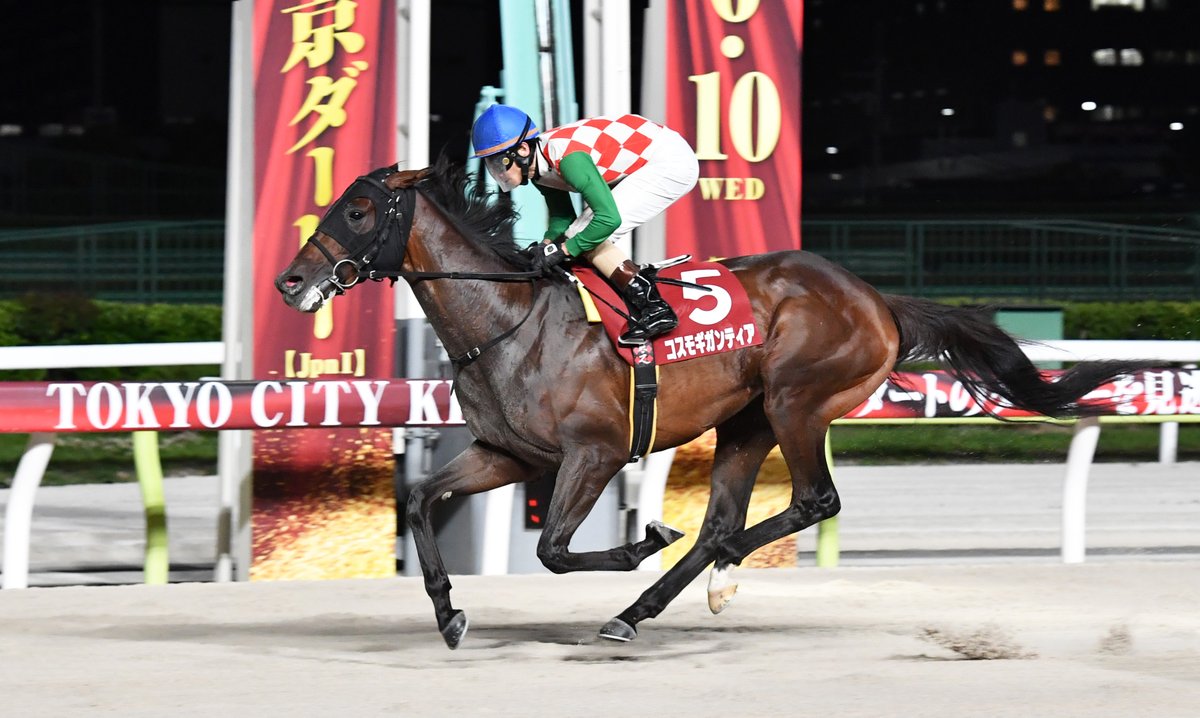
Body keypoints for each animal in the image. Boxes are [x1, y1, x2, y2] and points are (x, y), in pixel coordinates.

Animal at [274, 157, 1147, 649]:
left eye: (357, 209)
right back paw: (647, 605)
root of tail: (877, 301)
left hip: (798, 403)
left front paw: (638, 539)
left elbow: (554, 548)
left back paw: (701, 575)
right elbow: (423, 498)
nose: (291, 281)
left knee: (808, 502)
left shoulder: (595, 452)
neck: (507, 322)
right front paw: (448, 612)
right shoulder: (506, 453)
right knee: (723, 522)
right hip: (746, 420)